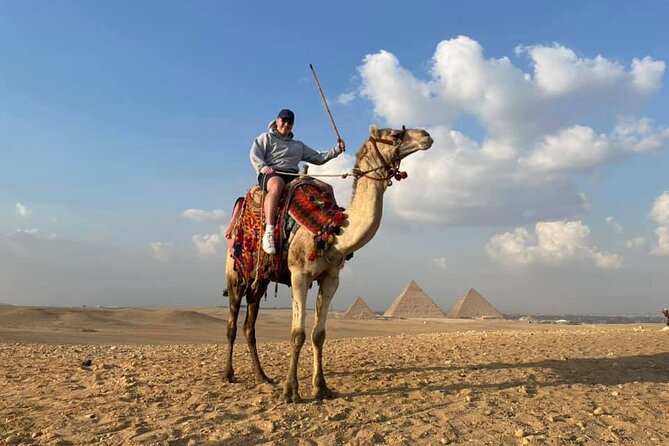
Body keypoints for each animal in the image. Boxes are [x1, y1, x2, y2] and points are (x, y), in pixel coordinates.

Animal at [224, 125, 433, 402]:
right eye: (395, 135)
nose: (426, 135)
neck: (330, 229)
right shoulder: (299, 276)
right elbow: (298, 334)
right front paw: (290, 391)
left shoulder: (331, 279)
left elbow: (318, 334)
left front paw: (321, 387)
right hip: (236, 274)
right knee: (232, 324)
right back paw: (228, 374)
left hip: (260, 280)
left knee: (250, 326)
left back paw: (262, 376)